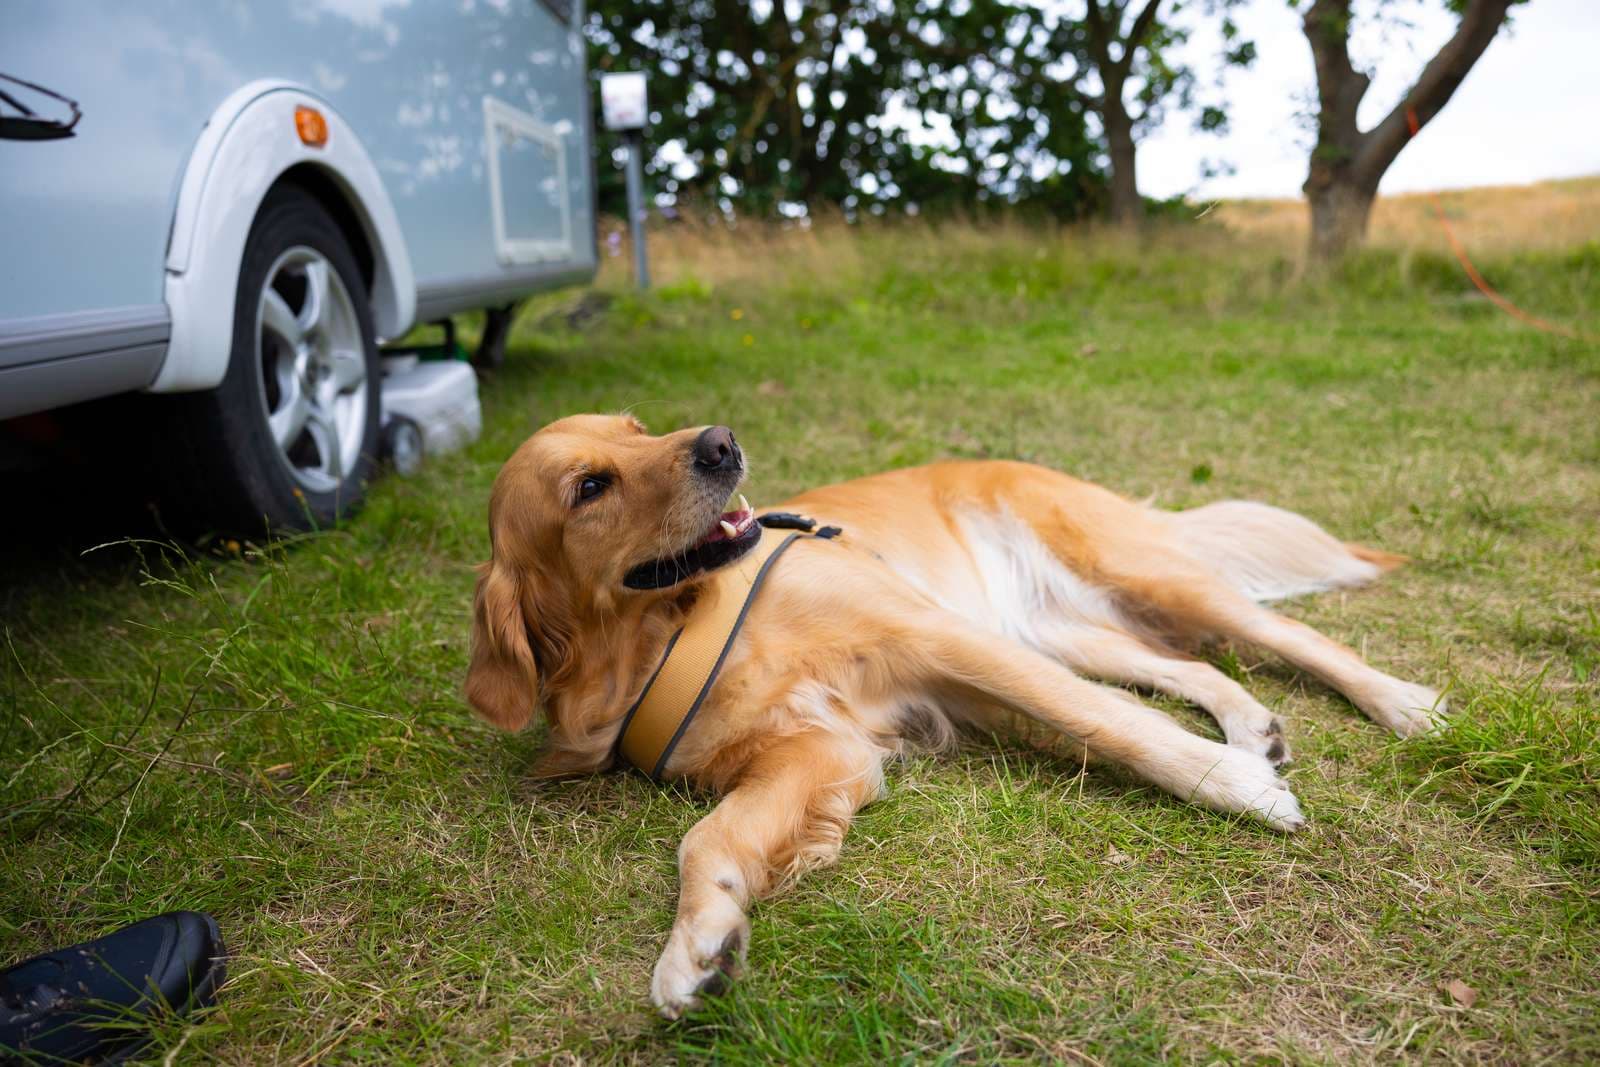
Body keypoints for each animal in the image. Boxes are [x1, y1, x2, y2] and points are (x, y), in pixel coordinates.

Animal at [467, 412, 1452, 1017]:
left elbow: (1117, 728)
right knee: (1191, 664)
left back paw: (1402, 706)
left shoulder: (930, 633)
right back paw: (1255, 728)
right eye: (590, 486)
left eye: (639, 429)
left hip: (1120, 580)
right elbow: (708, 836)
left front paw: (1236, 788)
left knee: (1280, 636)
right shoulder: (821, 752)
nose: (720, 441)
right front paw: (700, 941)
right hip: (1053, 629)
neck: (669, 633)